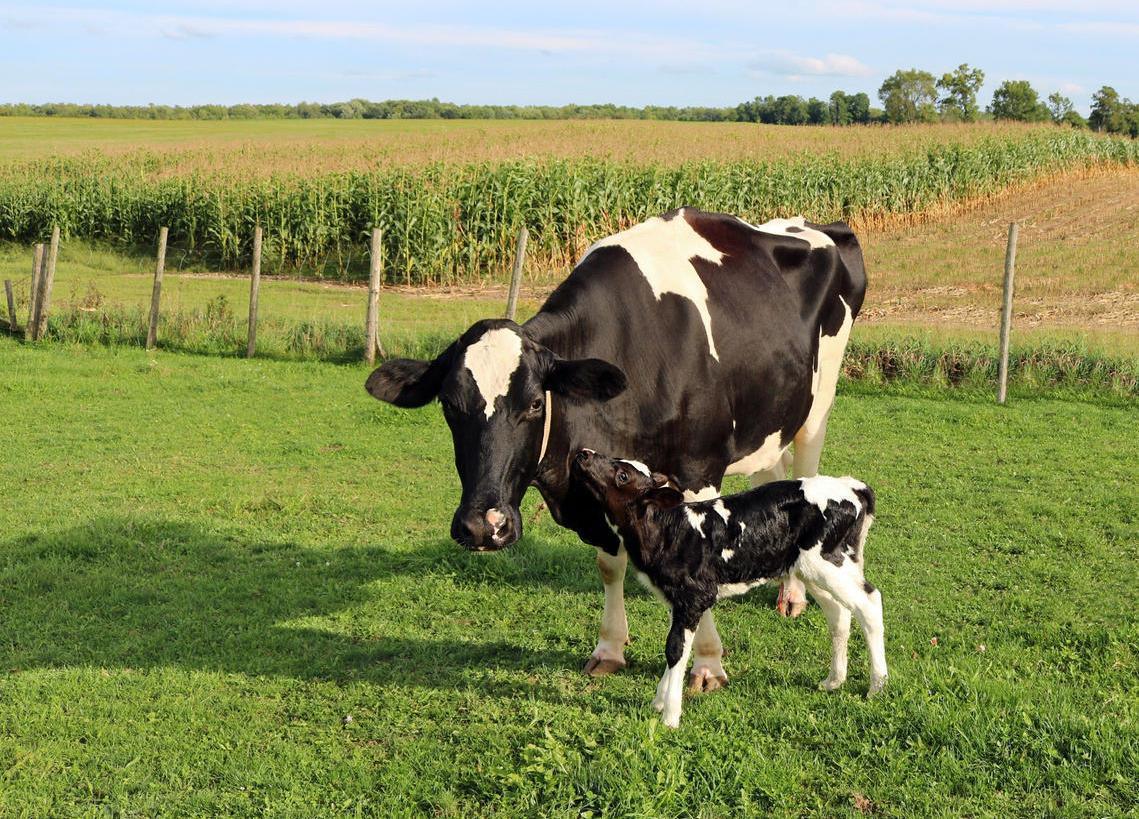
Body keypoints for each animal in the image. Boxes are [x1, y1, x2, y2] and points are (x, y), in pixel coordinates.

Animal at [364, 206, 861, 692]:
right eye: (449, 405)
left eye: (533, 404)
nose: (484, 527)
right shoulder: (597, 481)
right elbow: (609, 565)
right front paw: (609, 649)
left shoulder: (699, 471)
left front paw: (707, 663)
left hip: (818, 405)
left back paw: (793, 595)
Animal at [574, 448, 883, 729]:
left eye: (623, 476)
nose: (584, 453)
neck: (668, 529)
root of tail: (853, 487)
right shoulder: (677, 600)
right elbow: (676, 646)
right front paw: (659, 701)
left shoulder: (694, 596)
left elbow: (675, 650)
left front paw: (670, 716)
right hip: (810, 568)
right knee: (840, 613)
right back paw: (833, 681)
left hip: (828, 562)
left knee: (869, 603)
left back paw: (877, 686)